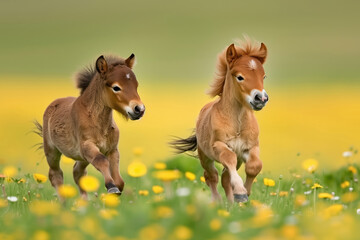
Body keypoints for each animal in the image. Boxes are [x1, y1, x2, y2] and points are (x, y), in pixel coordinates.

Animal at [34, 53, 145, 198]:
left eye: (136, 85)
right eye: (116, 87)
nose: (139, 109)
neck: (99, 122)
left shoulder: (112, 149)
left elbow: (119, 181)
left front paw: (115, 191)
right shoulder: (87, 146)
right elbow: (101, 160)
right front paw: (111, 187)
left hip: (82, 158)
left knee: (78, 173)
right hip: (52, 151)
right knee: (55, 174)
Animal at [171, 39, 268, 202]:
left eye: (264, 76)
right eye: (240, 77)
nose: (261, 98)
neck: (237, 123)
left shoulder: (251, 147)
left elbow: (255, 166)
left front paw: (245, 193)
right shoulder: (218, 146)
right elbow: (228, 157)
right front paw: (240, 192)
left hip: (238, 159)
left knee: (225, 177)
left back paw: (231, 201)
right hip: (205, 156)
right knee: (212, 175)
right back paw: (217, 201)